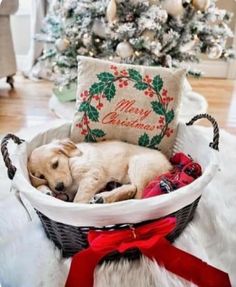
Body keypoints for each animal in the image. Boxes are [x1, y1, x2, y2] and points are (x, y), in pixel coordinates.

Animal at [27, 140, 172, 205]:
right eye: (41, 176)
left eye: (55, 164)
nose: (59, 187)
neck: (69, 162)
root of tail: (170, 165)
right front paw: (45, 190)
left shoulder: (93, 176)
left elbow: (78, 200)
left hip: (139, 165)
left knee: (137, 194)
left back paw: (104, 198)